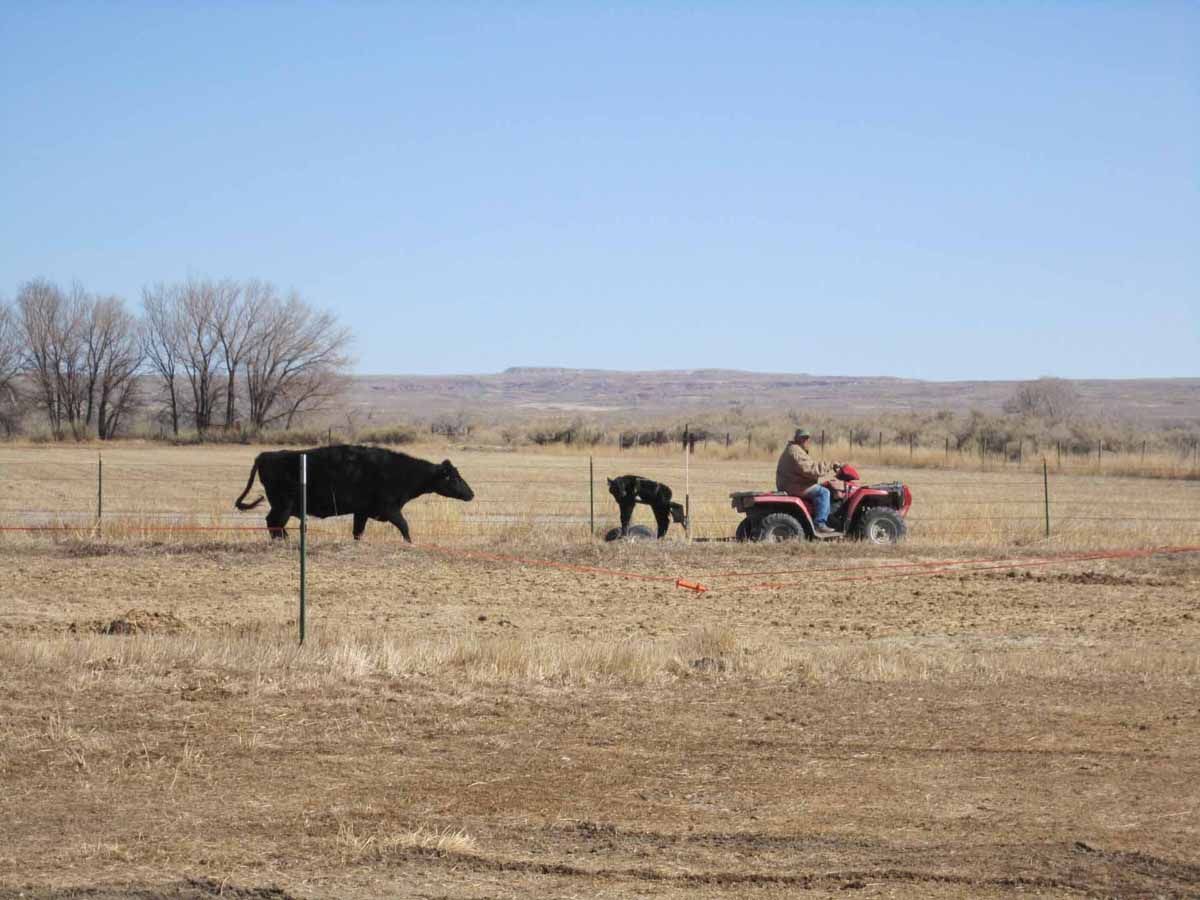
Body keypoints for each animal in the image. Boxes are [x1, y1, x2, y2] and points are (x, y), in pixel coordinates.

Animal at [234, 444, 474, 541]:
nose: (471, 494)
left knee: (274, 524)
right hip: (283, 504)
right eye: (453, 477)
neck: (402, 471)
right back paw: (284, 540)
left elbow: (358, 532)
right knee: (273, 522)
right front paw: (410, 543)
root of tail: (265, 455)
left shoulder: (362, 512)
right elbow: (405, 526)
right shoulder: (389, 508)